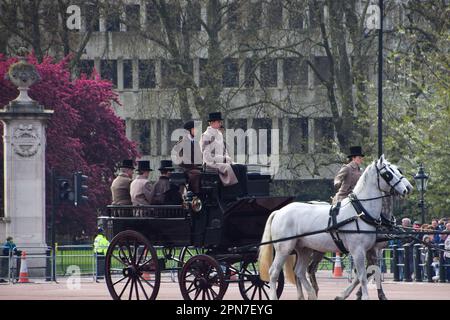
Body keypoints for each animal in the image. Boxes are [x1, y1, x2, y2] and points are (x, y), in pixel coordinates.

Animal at [260, 155, 412, 300]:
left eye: (398, 170)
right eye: (388, 173)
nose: (407, 189)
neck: (361, 211)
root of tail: (279, 211)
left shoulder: (371, 250)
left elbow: (370, 272)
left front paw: (345, 295)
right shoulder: (358, 251)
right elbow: (362, 276)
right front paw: (363, 296)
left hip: (304, 249)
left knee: (299, 271)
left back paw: (311, 294)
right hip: (284, 248)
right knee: (274, 272)